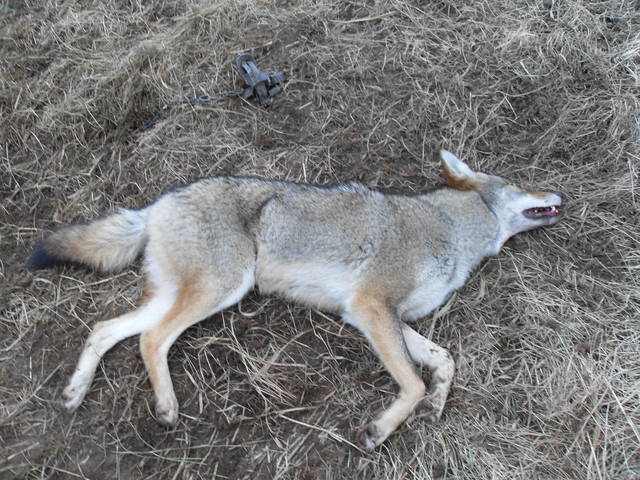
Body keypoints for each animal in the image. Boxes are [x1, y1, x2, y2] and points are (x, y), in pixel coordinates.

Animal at [26, 151, 563, 449]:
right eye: (523, 184)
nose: (559, 194)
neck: (450, 230)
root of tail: (158, 203)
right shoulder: (371, 308)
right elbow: (410, 383)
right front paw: (381, 430)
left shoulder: (384, 317)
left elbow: (444, 360)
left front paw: (435, 405)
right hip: (224, 289)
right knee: (152, 340)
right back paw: (166, 407)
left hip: (182, 294)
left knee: (106, 330)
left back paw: (75, 392)